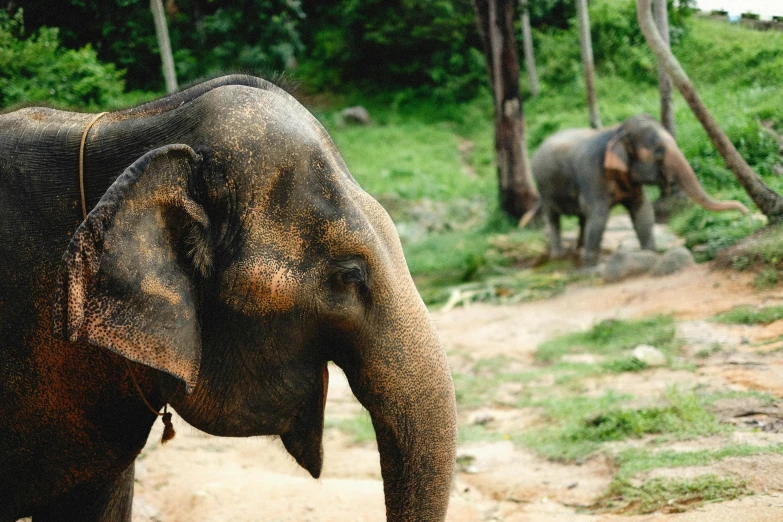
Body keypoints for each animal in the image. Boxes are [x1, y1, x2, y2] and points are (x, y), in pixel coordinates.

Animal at [532, 112, 748, 262]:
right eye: (659, 150)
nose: (745, 210)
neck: (617, 131)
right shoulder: (592, 173)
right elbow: (599, 215)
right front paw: (591, 264)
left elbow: (643, 210)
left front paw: (649, 253)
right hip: (543, 188)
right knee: (554, 217)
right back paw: (558, 256)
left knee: (582, 218)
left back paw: (577, 250)